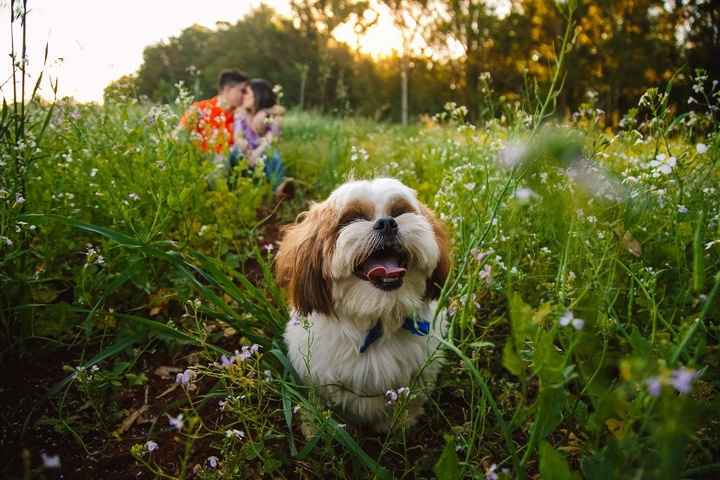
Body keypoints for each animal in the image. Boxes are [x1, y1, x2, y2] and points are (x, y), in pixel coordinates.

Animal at [276, 177, 450, 432]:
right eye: (351, 218)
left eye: (399, 212)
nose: (387, 223)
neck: (376, 316)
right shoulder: (315, 375)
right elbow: (319, 402)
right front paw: (317, 426)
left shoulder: (421, 372)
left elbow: (411, 401)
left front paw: (400, 422)